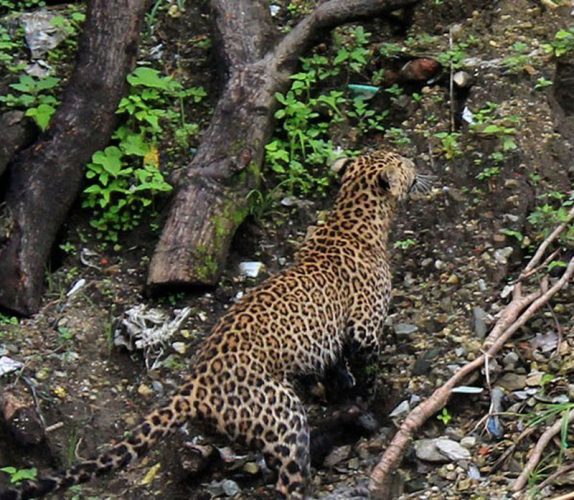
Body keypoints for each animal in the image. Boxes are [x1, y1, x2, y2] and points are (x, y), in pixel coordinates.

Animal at [0, 149, 432, 500]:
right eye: (401, 161)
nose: (413, 159)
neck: (352, 215)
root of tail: (195, 385)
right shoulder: (363, 328)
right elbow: (367, 372)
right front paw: (368, 408)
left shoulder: (335, 339)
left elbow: (336, 367)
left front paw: (344, 393)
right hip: (282, 413)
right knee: (287, 476)